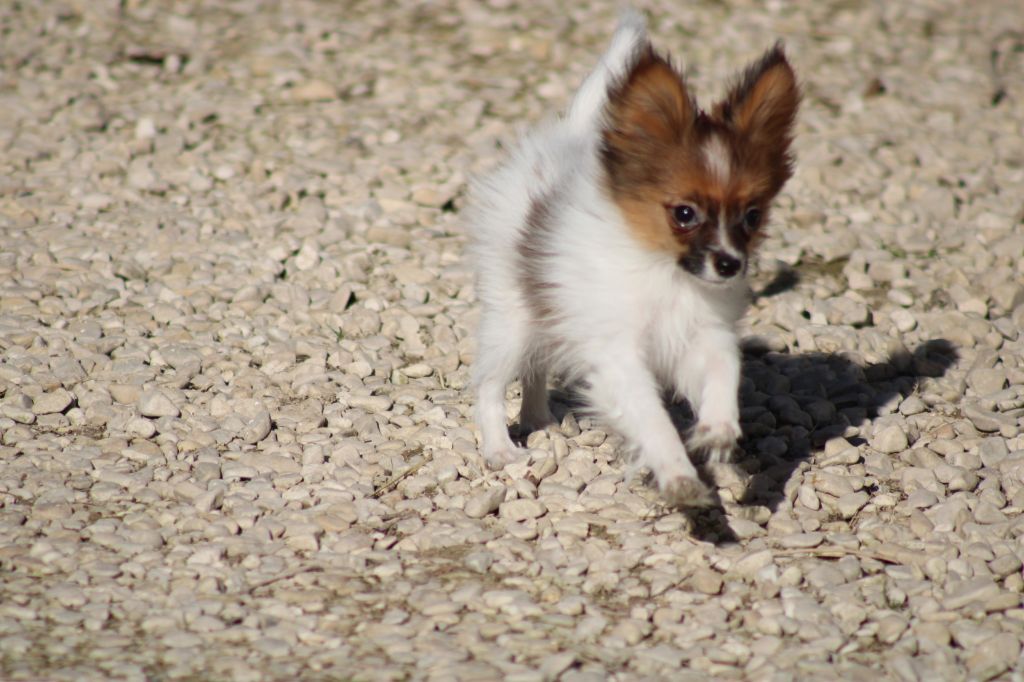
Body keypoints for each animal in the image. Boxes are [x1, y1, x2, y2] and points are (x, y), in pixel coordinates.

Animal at [466, 7, 798, 501]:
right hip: (513, 319)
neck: (666, 272)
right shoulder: (619, 354)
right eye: (684, 213)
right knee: (490, 384)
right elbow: (652, 419)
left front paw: (718, 430)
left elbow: (726, 371)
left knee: (536, 366)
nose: (729, 265)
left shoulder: (703, 334)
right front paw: (678, 475)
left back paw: (538, 418)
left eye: (753, 216)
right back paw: (500, 448)